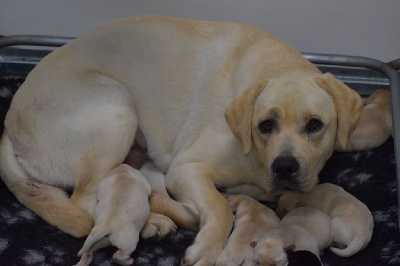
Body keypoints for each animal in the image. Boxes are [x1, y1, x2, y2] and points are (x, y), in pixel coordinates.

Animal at [0, 15, 362, 264]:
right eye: (266, 125)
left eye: (314, 124)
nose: (285, 167)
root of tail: (8, 123)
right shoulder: (186, 167)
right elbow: (218, 207)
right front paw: (208, 247)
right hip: (117, 106)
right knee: (84, 201)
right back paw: (157, 218)